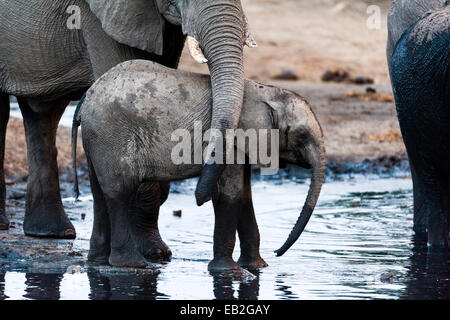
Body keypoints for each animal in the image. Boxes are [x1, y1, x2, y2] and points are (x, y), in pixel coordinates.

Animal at [73, 60, 326, 270]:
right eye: (301, 135)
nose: (277, 252)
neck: (268, 92)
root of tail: (85, 100)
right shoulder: (231, 143)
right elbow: (230, 195)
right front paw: (230, 272)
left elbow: (245, 196)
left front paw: (258, 267)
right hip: (113, 136)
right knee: (121, 193)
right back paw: (132, 264)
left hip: (98, 140)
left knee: (100, 194)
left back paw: (98, 261)